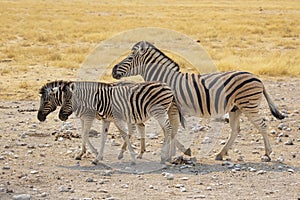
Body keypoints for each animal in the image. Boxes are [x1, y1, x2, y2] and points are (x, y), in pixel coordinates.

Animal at [111, 40, 284, 161]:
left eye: (130, 57)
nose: (112, 70)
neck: (165, 79)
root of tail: (257, 78)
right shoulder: (171, 109)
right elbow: (172, 129)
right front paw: (180, 151)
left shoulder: (172, 107)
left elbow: (172, 129)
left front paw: (171, 153)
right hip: (236, 108)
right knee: (235, 130)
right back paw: (221, 153)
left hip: (249, 105)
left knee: (262, 125)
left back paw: (267, 154)